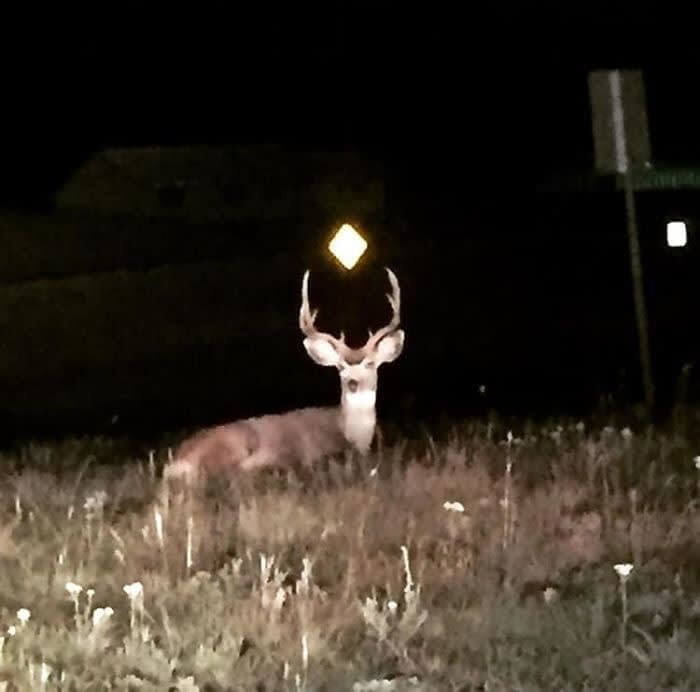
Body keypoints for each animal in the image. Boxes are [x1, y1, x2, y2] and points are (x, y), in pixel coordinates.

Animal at [162, 267, 405, 489]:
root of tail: (177, 461)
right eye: (340, 367)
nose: (353, 383)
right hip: (236, 445)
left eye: (370, 364)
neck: (352, 434)